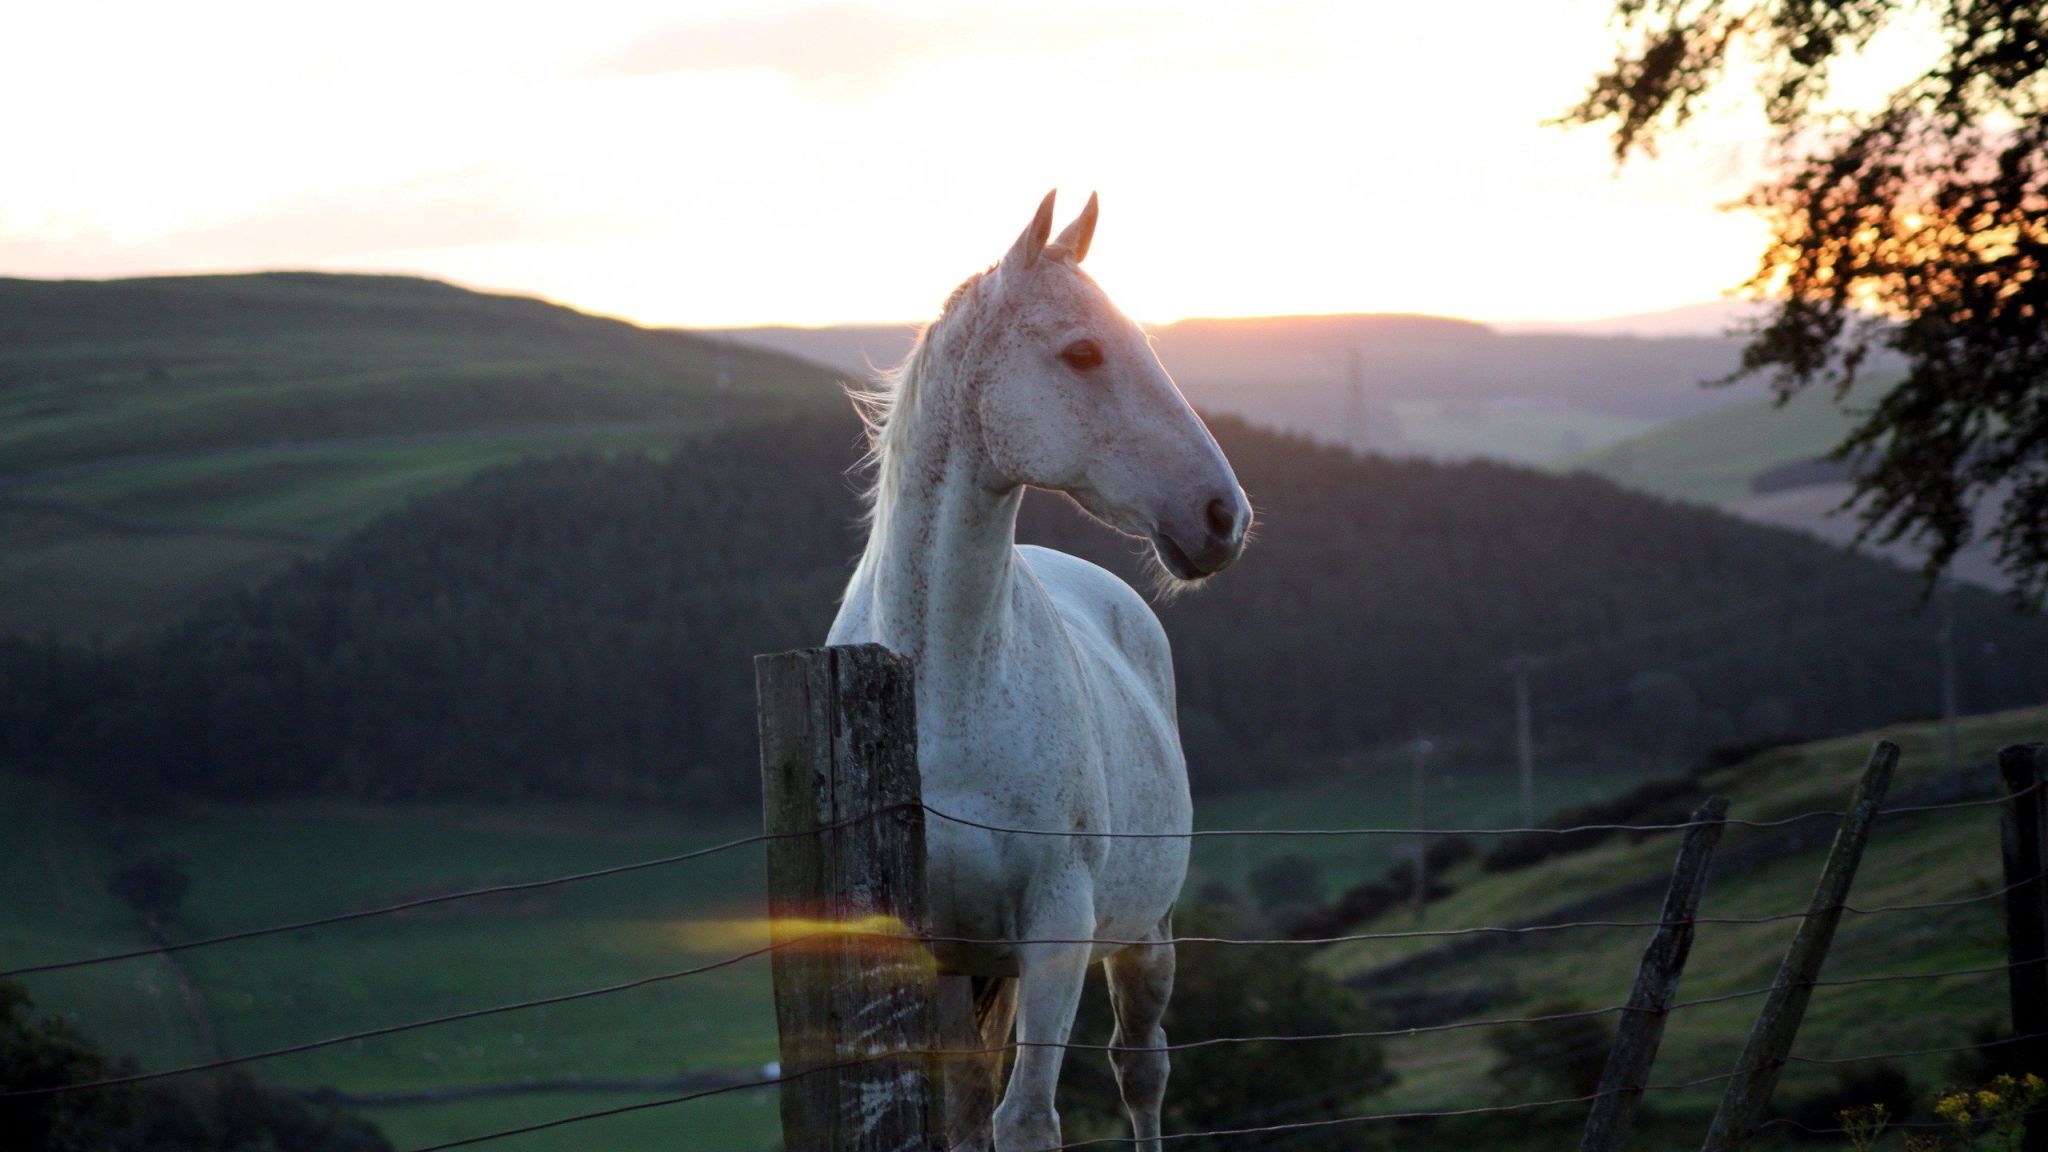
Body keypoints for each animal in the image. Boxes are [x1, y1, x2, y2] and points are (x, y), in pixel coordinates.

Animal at [827, 192, 1245, 1139]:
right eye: (1082, 351)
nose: (1223, 516)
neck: (942, 690)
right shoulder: (929, 955)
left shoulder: (1058, 929)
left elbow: (1026, 1121)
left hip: (1144, 938)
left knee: (1142, 1069)